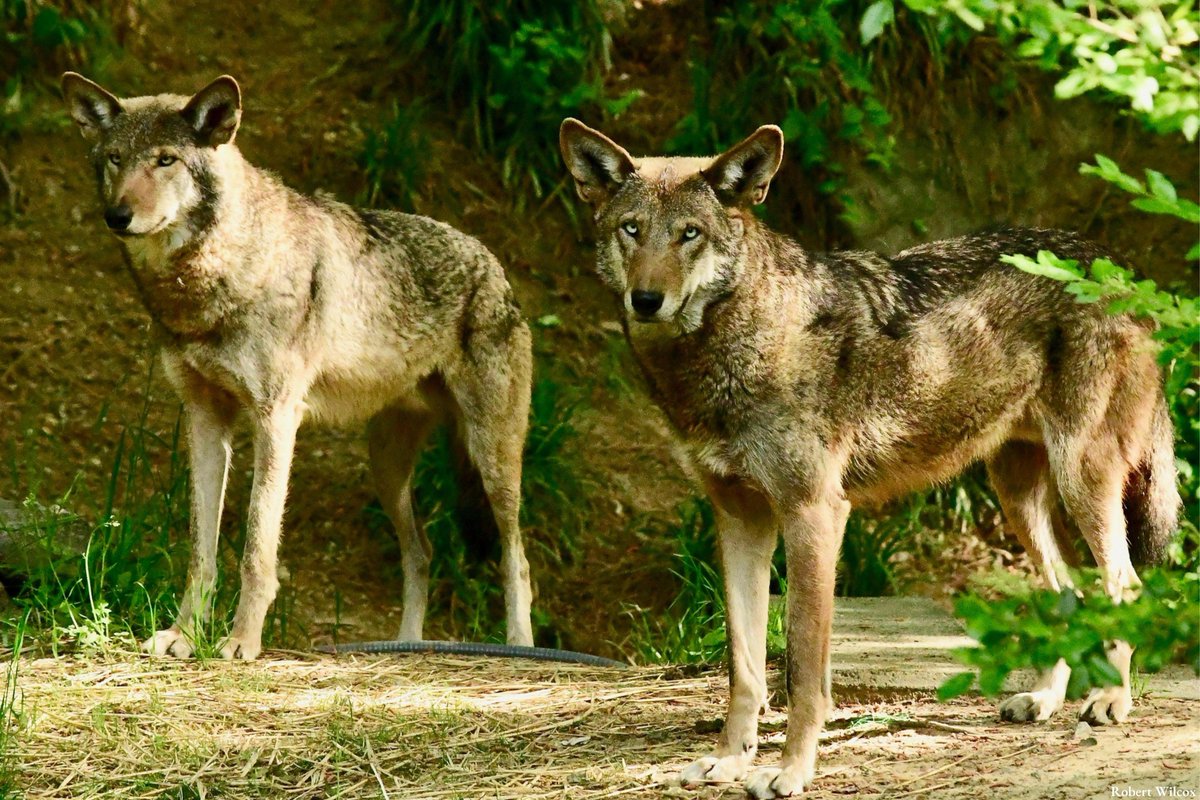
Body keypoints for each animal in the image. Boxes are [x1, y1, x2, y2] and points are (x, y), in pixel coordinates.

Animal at [60, 72, 536, 660]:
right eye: (115, 159)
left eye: (166, 160)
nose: (118, 216)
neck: (217, 278)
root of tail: (493, 264)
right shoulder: (204, 419)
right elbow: (201, 549)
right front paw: (184, 634)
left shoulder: (276, 419)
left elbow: (256, 548)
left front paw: (241, 641)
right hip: (385, 465)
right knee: (420, 553)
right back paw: (404, 645)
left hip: (493, 461)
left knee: (516, 561)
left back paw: (520, 649)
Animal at [560, 118, 1178, 798]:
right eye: (632, 229)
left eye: (688, 234)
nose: (646, 299)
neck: (730, 352)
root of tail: (1119, 266)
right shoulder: (739, 520)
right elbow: (744, 667)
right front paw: (728, 760)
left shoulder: (814, 514)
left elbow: (802, 670)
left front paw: (791, 770)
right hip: (1016, 495)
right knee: (1067, 589)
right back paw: (1044, 700)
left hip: (1081, 481)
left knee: (1123, 584)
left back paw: (1110, 701)